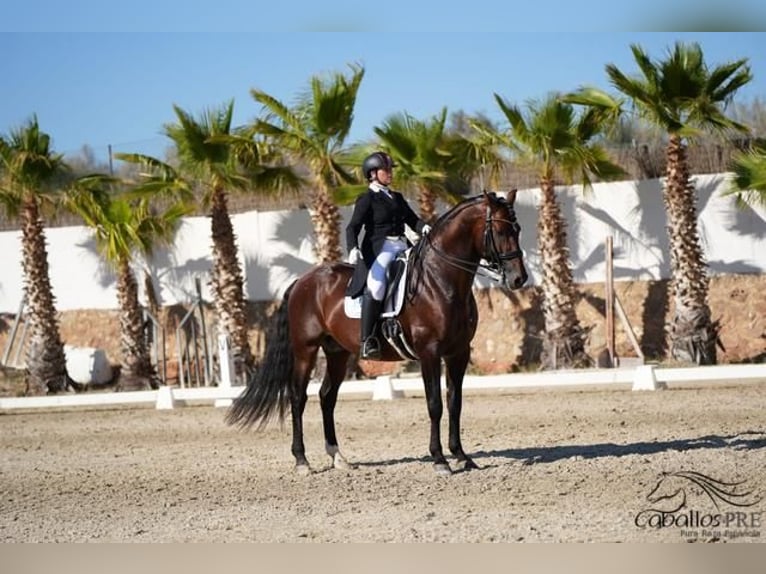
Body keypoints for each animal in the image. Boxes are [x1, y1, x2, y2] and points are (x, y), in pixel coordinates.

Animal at [225, 191, 532, 474]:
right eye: (501, 230)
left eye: (517, 230)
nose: (519, 279)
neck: (440, 280)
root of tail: (303, 280)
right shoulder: (429, 352)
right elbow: (435, 404)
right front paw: (440, 460)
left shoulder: (459, 352)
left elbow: (454, 403)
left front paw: (462, 456)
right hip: (306, 350)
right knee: (298, 397)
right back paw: (302, 461)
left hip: (337, 352)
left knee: (327, 397)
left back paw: (338, 458)